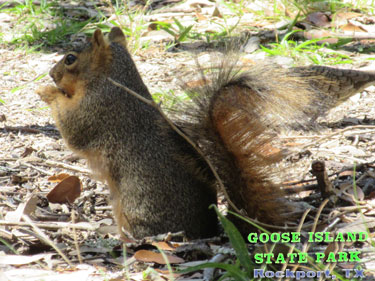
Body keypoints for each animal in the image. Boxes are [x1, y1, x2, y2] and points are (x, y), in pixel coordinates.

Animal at [36, 26, 375, 238]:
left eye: (70, 59)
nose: (51, 73)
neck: (113, 80)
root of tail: (208, 229)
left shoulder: (97, 109)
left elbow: (72, 130)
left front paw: (46, 92)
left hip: (138, 210)